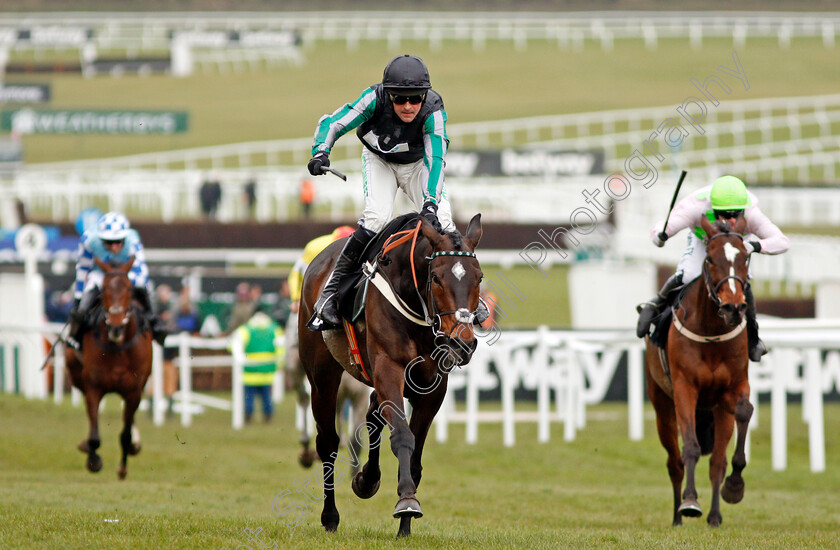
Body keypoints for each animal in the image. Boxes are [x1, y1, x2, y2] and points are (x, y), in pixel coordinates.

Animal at [65, 256, 153, 480]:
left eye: (129, 288)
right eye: (104, 289)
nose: (115, 326)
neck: (118, 348)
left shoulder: (134, 390)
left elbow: (126, 433)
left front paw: (123, 467)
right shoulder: (93, 388)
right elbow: (94, 435)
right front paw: (93, 459)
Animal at [300, 215, 486, 540]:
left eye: (479, 278)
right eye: (437, 277)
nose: (462, 342)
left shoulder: (432, 388)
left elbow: (414, 456)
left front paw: (405, 525)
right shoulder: (389, 368)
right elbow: (402, 435)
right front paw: (407, 503)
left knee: (373, 414)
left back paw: (366, 479)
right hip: (322, 377)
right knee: (328, 443)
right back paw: (330, 516)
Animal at [644, 213, 756, 528]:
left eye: (745, 257)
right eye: (710, 259)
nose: (733, 308)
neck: (712, 331)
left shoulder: (734, 388)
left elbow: (744, 412)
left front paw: (735, 486)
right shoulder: (685, 388)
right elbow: (691, 448)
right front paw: (690, 502)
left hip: (716, 410)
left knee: (716, 461)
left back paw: (715, 516)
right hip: (662, 406)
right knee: (674, 462)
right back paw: (677, 516)